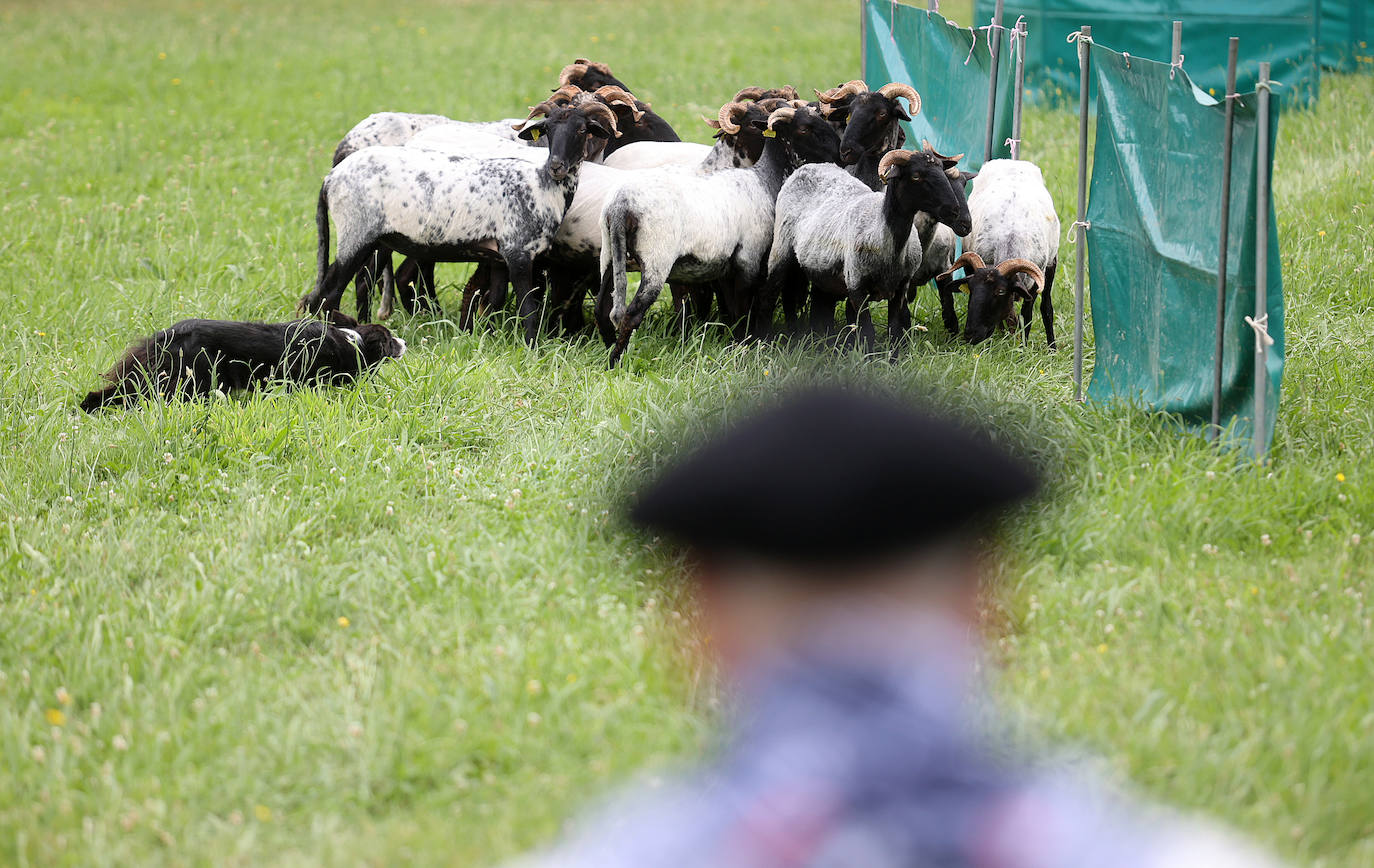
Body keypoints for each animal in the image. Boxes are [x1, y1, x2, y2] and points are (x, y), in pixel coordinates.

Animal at [305, 100, 623, 344]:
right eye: (547, 129)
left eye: (581, 129)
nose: (557, 165)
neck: (540, 183)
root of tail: (330, 178)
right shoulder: (518, 252)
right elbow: (528, 308)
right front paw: (533, 348)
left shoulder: (498, 258)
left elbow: (493, 301)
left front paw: (485, 339)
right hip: (355, 233)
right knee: (327, 297)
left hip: (371, 238)